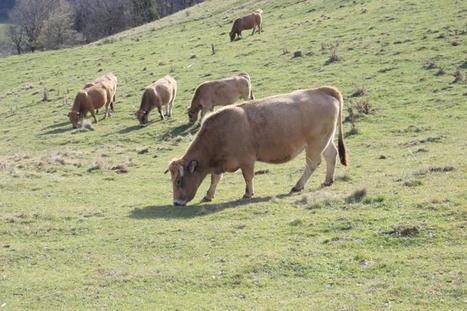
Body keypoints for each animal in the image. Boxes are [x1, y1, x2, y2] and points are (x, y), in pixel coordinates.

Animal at [167, 86, 348, 207]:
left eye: (178, 181)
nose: (176, 202)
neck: (219, 131)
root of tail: (322, 91)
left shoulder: (246, 160)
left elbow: (248, 177)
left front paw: (248, 193)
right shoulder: (219, 163)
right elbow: (215, 179)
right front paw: (208, 195)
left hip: (315, 144)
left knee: (312, 163)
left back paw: (298, 186)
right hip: (326, 140)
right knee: (331, 155)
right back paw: (327, 180)